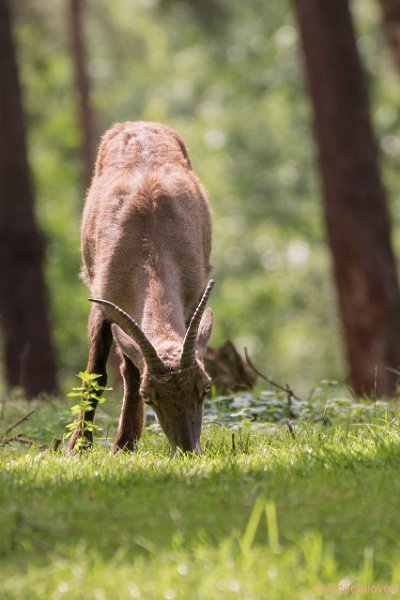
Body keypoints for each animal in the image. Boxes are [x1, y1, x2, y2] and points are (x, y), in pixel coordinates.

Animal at [69, 122, 214, 454]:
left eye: (205, 388)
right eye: (151, 396)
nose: (188, 449)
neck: (151, 243)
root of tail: (137, 124)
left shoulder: (193, 296)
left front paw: (123, 442)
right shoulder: (105, 302)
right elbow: (99, 373)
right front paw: (79, 445)